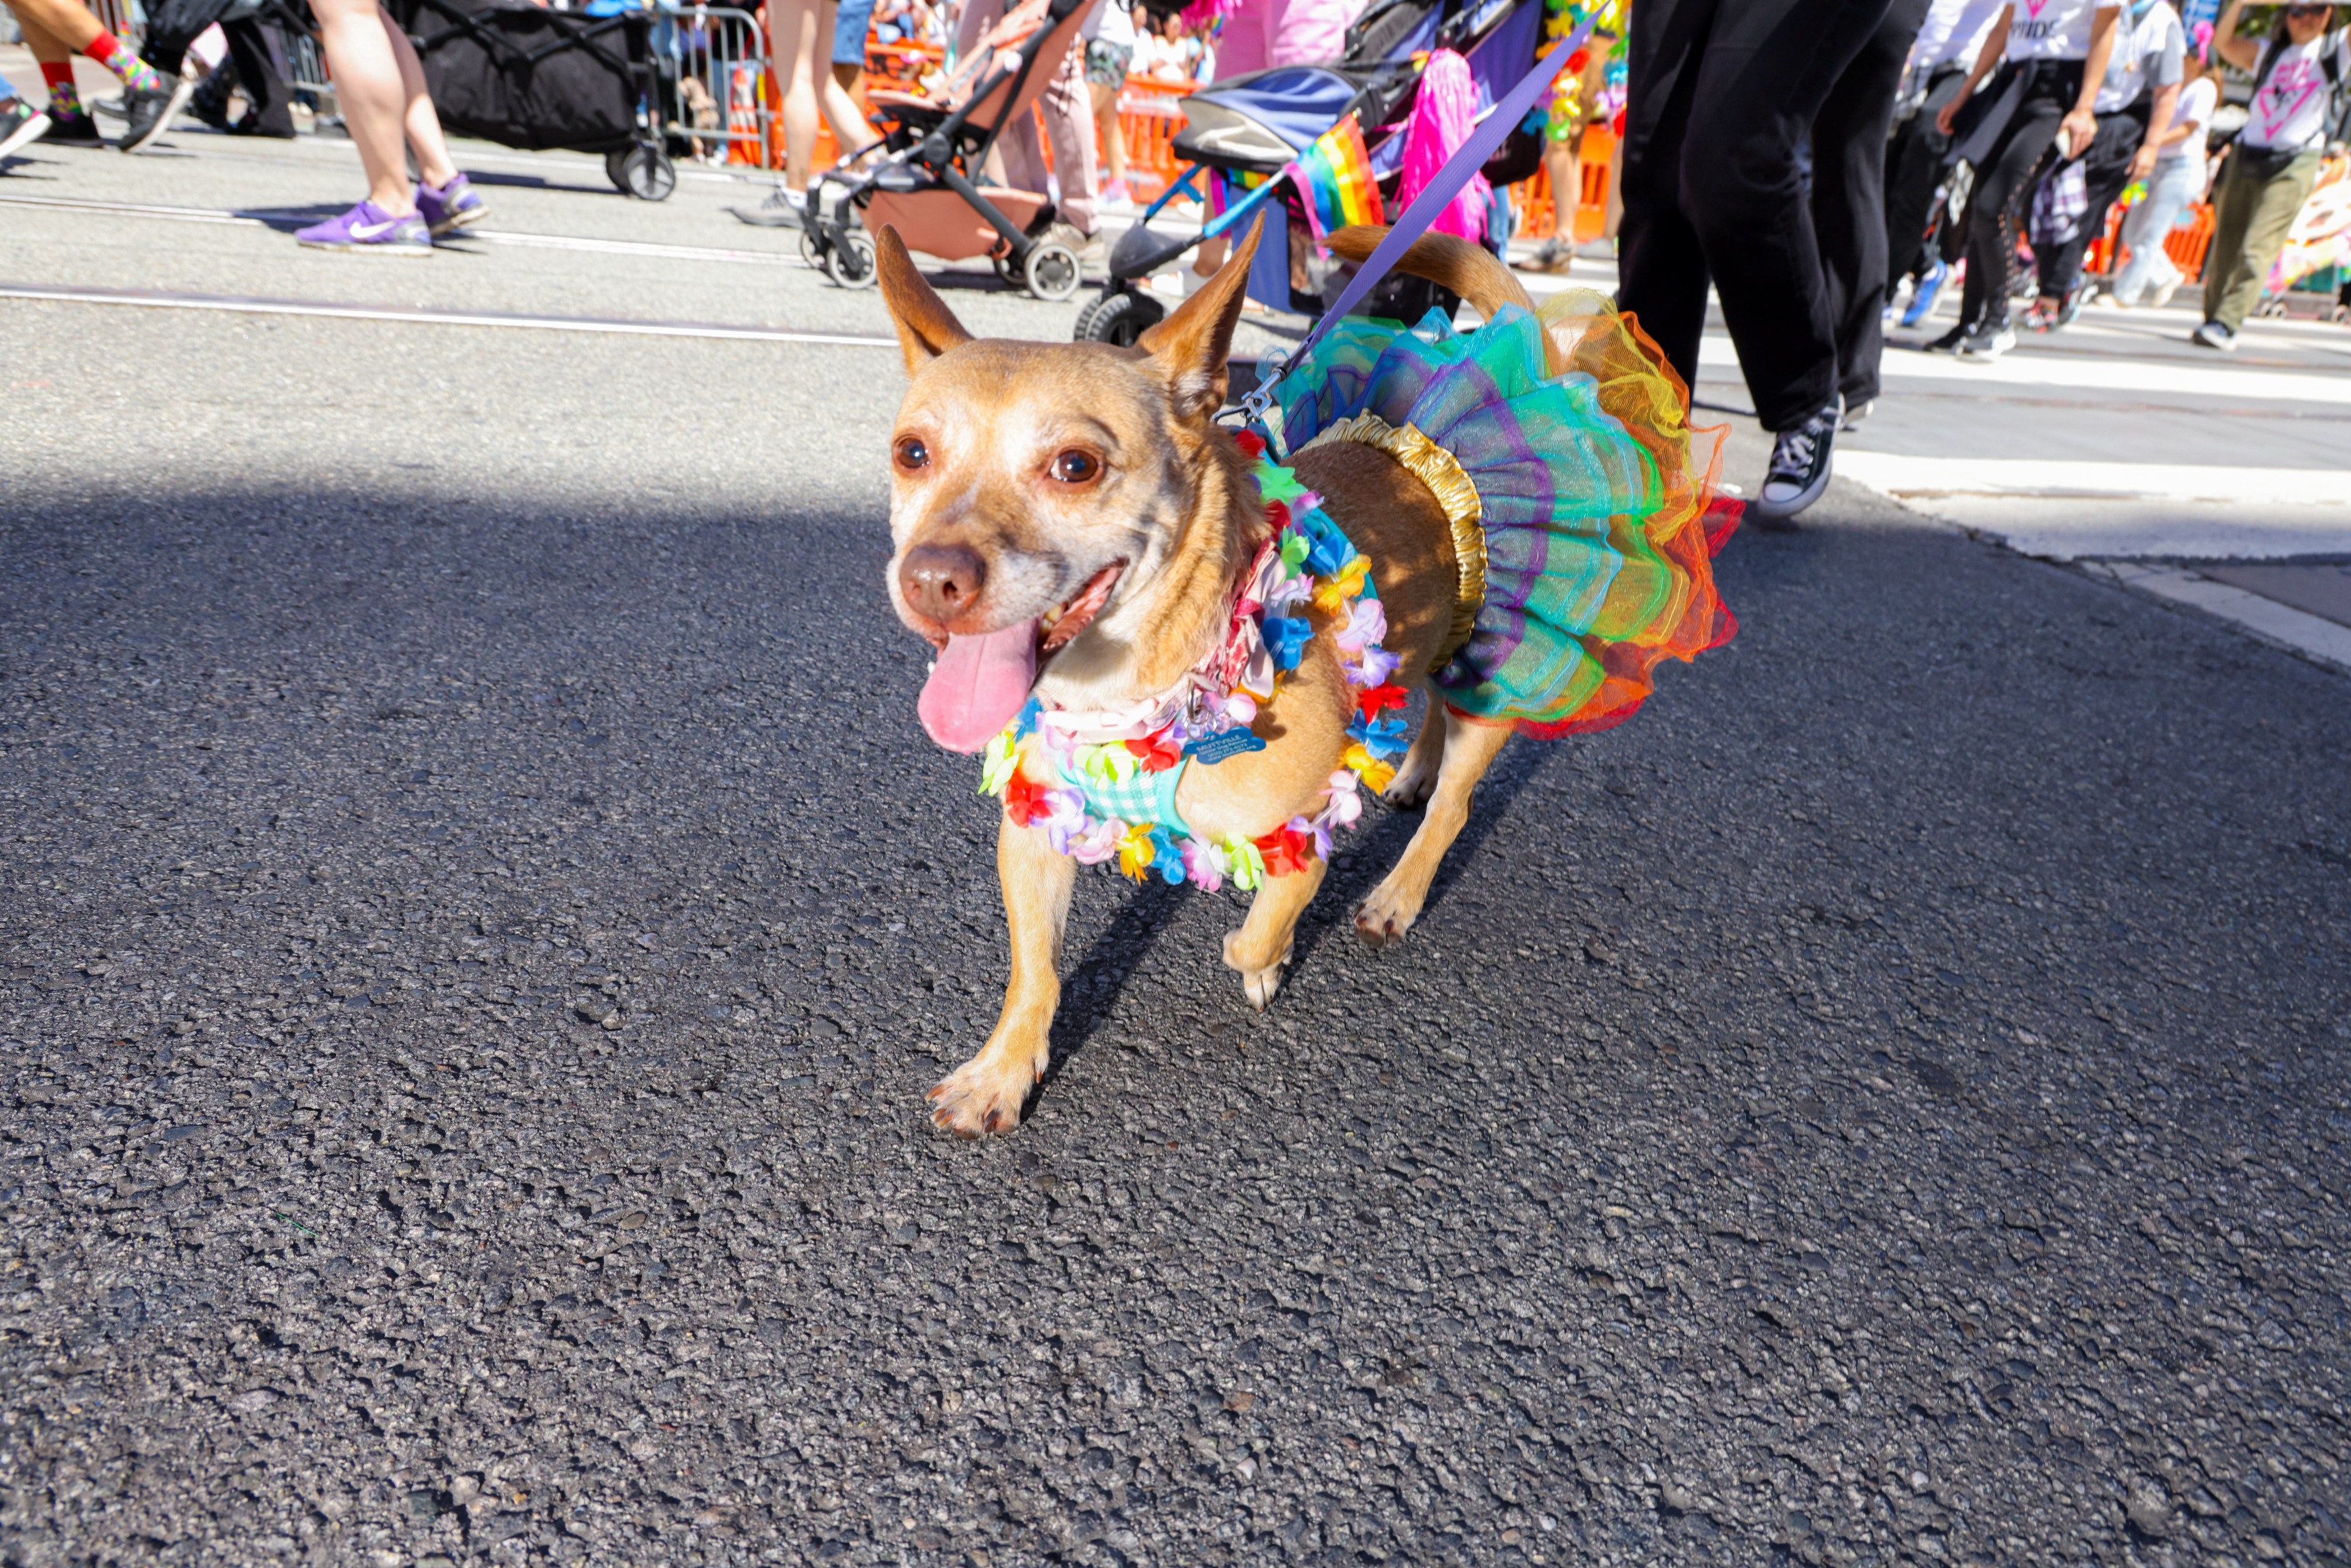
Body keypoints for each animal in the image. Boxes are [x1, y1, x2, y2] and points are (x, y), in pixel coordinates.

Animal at [874, 217, 1702, 1142]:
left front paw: (1270, 962)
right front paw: (1004, 1070)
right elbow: (1035, 971)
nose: (930, 579)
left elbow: (1257, 926)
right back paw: (1411, 774)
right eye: (913, 453)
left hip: (1493, 683)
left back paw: (1397, 891)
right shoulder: (1034, 832)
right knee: (1424, 708)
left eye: (1076, 466)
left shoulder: (1301, 831)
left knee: (1455, 804)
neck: (1138, 686)